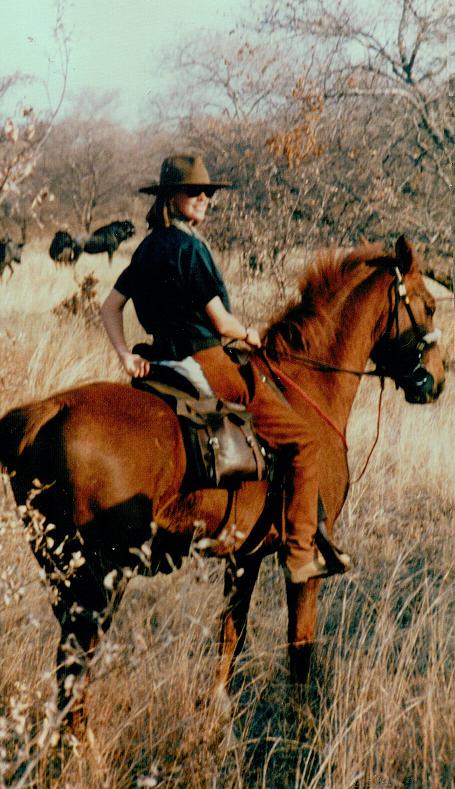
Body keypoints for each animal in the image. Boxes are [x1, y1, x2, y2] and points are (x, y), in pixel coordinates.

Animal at [0, 234, 446, 732]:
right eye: (429, 306)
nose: (435, 380)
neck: (305, 388)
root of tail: (46, 411)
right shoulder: (304, 562)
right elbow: (300, 645)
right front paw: (300, 725)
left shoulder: (244, 557)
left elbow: (232, 632)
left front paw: (217, 706)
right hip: (99, 579)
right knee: (78, 658)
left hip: (62, 571)